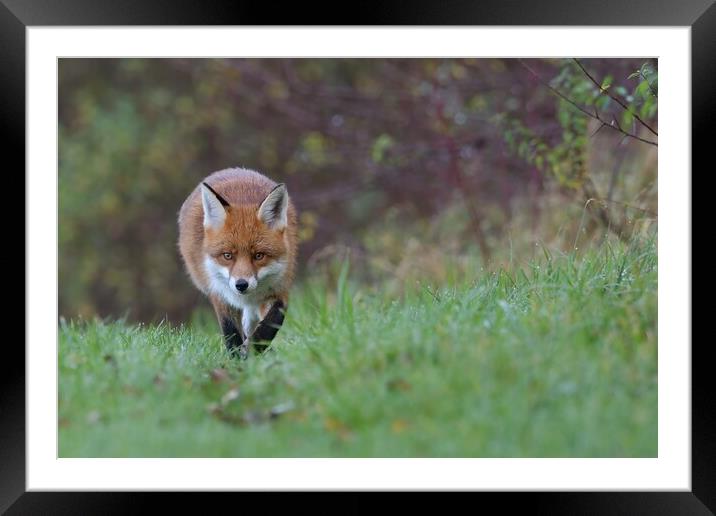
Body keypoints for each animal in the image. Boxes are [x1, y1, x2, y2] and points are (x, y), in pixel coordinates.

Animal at [178, 167, 298, 356]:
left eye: (258, 255)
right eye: (227, 256)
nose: (241, 285)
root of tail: (233, 170)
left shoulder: (280, 289)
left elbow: (270, 324)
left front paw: (253, 351)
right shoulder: (219, 293)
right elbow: (231, 332)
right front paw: (236, 358)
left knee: (249, 322)